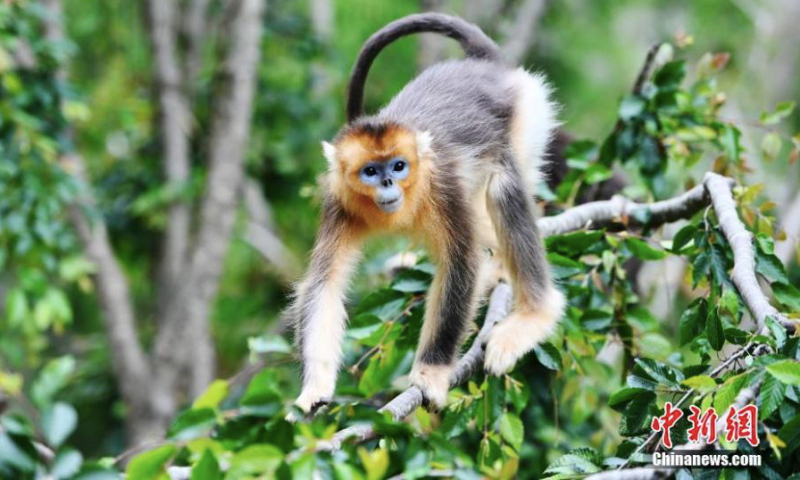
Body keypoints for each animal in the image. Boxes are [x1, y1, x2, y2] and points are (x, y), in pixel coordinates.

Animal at [291, 13, 565, 413]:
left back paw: (535, 314)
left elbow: (462, 263)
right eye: (370, 171)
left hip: (528, 113)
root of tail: (486, 67)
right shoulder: (338, 202)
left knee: (501, 185)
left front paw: (431, 374)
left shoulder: (444, 185)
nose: (388, 182)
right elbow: (324, 284)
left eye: (399, 166)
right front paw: (316, 386)